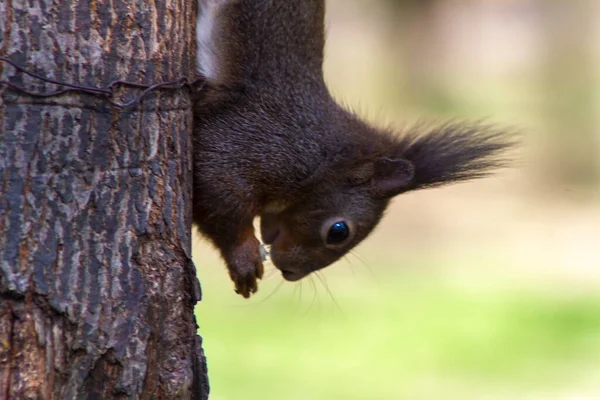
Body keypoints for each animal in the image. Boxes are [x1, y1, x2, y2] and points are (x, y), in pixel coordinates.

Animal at [195, 0, 512, 296]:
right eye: (339, 232)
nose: (291, 273)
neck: (325, 161)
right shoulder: (261, 142)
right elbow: (218, 189)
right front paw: (244, 259)